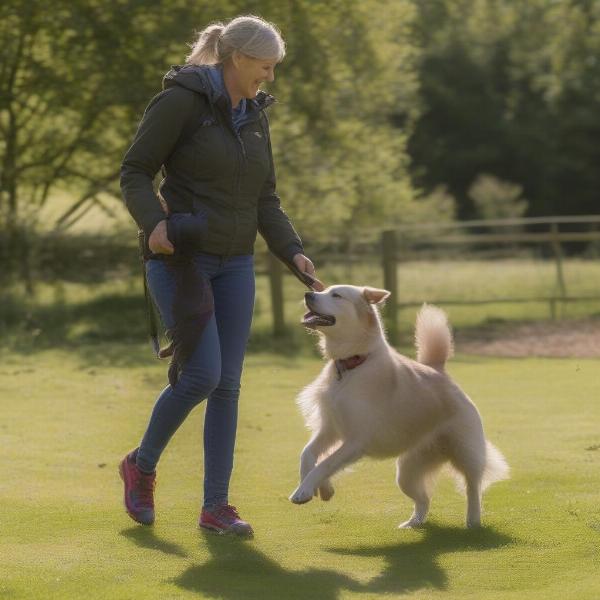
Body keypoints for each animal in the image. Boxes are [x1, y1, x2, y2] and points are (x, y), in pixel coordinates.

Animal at [288, 286, 508, 524]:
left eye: (336, 295)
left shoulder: (355, 441)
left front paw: (305, 490)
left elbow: (325, 464)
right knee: (424, 499)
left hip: (465, 453)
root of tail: (438, 371)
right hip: (406, 472)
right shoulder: (330, 429)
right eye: (323, 290)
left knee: (473, 488)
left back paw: (473, 521)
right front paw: (319, 487)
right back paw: (413, 523)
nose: (307, 295)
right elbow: (308, 455)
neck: (352, 365)